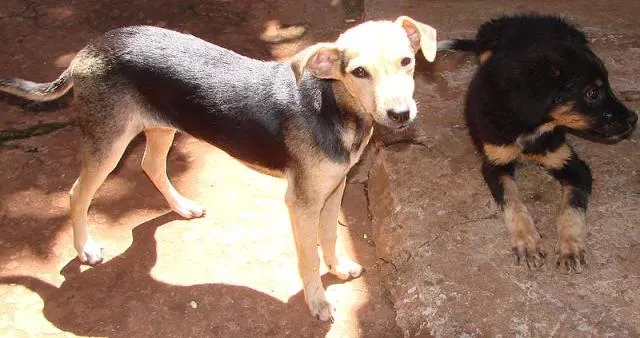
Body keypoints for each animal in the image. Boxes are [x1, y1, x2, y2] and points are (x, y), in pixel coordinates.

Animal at [0, 17, 438, 320]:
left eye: (406, 62)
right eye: (360, 72)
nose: (400, 115)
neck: (332, 106)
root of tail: (86, 51)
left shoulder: (333, 189)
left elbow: (329, 238)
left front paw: (340, 268)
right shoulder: (301, 202)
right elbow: (309, 257)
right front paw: (317, 302)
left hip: (161, 127)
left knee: (150, 165)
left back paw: (182, 207)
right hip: (108, 143)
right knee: (77, 193)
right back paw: (86, 248)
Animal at [438, 14, 636, 276]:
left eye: (608, 87)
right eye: (592, 93)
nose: (634, 119)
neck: (532, 126)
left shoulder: (573, 165)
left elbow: (571, 207)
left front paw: (570, 247)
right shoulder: (495, 163)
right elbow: (513, 202)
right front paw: (527, 242)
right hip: (486, 48)